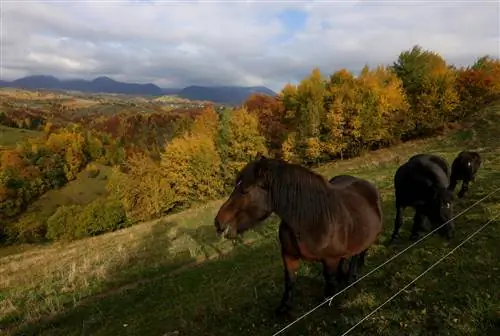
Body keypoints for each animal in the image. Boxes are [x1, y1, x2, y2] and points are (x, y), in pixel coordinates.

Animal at [214, 155, 382, 316]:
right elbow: (289, 280)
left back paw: (351, 276)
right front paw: (284, 308)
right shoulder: (288, 256)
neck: (310, 219)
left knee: (358, 253)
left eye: (245, 190)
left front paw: (329, 300)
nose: (218, 223)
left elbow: (329, 280)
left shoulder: (330, 260)